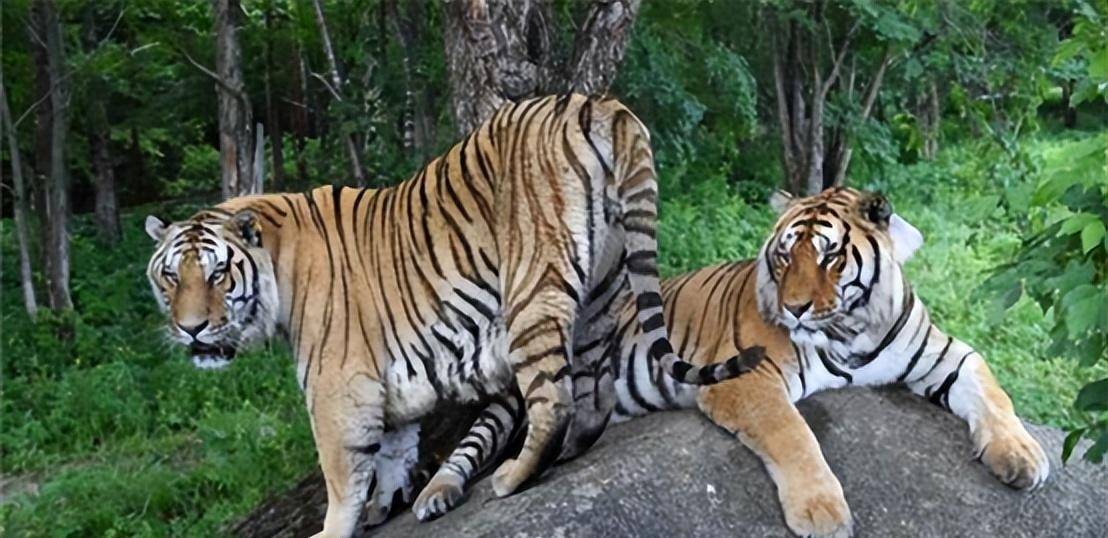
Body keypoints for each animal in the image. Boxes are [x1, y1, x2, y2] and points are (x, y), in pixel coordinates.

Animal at [143, 93, 762, 538]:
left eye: (217, 275)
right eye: (171, 277)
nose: (191, 328)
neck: (276, 263)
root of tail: (593, 101)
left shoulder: (335, 385)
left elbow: (342, 473)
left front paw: (336, 527)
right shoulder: (382, 384)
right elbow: (394, 449)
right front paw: (383, 507)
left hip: (529, 291)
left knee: (552, 399)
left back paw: (513, 478)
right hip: (604, 286)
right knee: (593, 394)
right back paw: (566, 454)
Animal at [402, 186, 1050, 537]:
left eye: (829, 256)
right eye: (785, 255)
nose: (793, 307)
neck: (851, 325)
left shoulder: (944, 353)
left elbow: (993, 392)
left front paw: (1024, 457)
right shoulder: (749, 379)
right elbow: (794, 436)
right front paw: (822, 512)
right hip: (515, 399)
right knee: (469, 448)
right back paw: (438, 495)